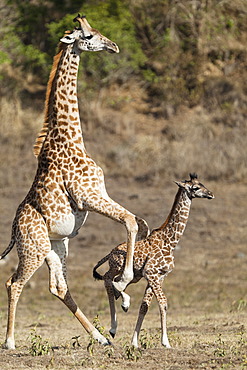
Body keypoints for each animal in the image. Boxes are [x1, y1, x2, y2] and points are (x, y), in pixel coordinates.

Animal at [0, 14, 149, 350]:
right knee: (13, 282)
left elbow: (138, 221)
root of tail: (14, 231)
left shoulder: (99, 193)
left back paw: (100, 337)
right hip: (33, 247)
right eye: (89, 35)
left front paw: (123, 290)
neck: (72, 138)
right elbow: (130, 221)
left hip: (56, 245)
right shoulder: (88, 196)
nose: (113, 45)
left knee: (58, 287)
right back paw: (11, 342)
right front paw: (122, 285)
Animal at [93, 173, 214, 346]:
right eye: (196, 188)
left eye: (202, 184)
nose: (211, 194)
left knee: (113, 282)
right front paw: (165, 342)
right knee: (108, 280)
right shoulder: (151, 273)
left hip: (134, 276)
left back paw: (121, 307)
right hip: (118, 267)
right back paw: (115, 323)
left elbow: (145, 306)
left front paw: (134, 342)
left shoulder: (159, 276)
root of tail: (110, 253)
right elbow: (163, 303)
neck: (171, 242)